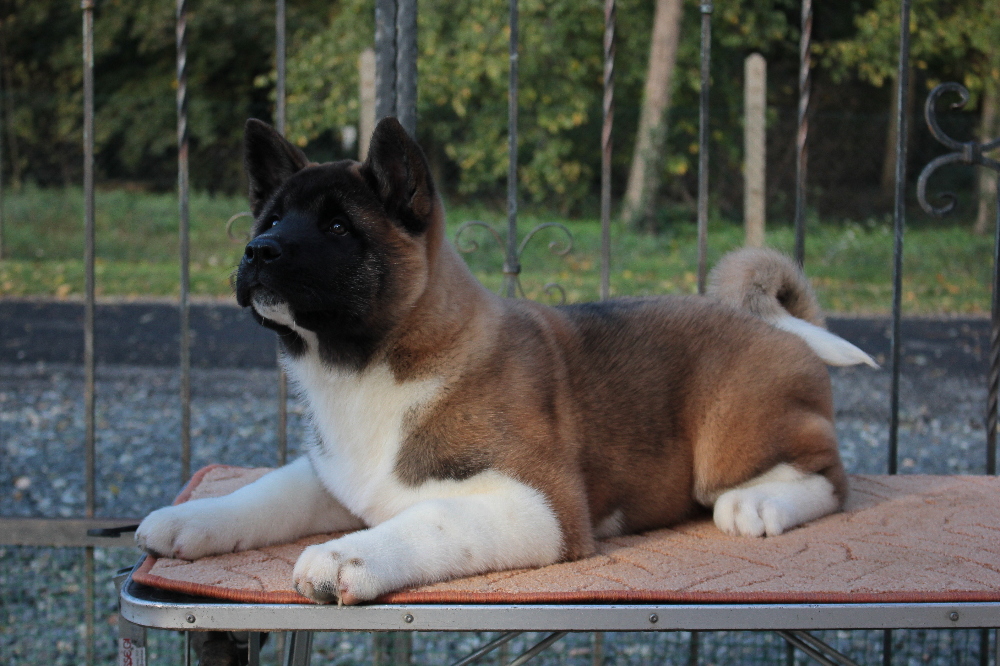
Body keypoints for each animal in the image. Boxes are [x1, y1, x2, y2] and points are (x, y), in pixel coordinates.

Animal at [136, 116, 876, 605]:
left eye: (338, 226)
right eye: (268, 220)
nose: (257, 252)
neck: (366, 364)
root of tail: (780, 326)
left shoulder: (541, 505)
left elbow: (430, 521)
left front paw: (348, 555)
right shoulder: (337, 477)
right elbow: (267, 491)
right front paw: (194, 518)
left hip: (729, 437)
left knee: (829, 477)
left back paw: (760, 504)